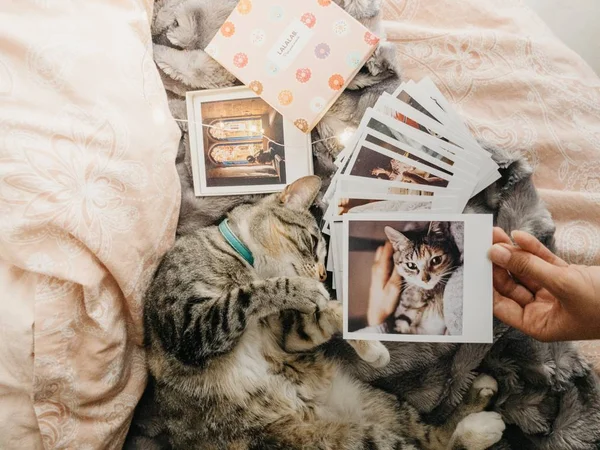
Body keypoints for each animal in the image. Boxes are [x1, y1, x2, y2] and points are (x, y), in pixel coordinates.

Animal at [127, 177, 506, 450]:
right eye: (312, 242)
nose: (325, 276)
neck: (243, 259)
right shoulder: (189, 327)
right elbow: (251, 294)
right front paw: (307, 291)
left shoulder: (288, 337)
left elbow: (323, 315)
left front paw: (371, 346)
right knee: (428, 442)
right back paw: (483, 423)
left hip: (378, 404)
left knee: (430, 436)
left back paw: (480, 406)